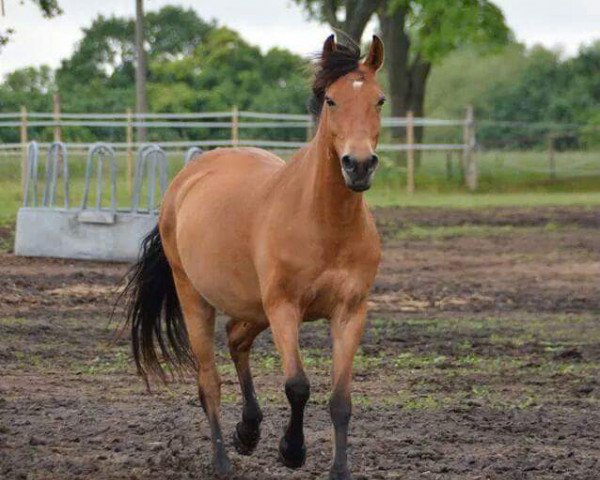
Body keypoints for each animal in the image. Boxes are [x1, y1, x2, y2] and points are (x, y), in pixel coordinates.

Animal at [125, 34, 386, 480]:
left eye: (380, 100)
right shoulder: (284, 307)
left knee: (236, 338)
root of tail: (185, 181)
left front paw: (337, 470)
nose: (359, 165)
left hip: (252, 305)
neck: (324, 222)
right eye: (331, 100)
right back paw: (222, 461)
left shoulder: (350, 311)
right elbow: (298, 386)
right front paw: (291, 450)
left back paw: (247, 431)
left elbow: (340, 400)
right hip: (195, 296)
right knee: (209, 381)